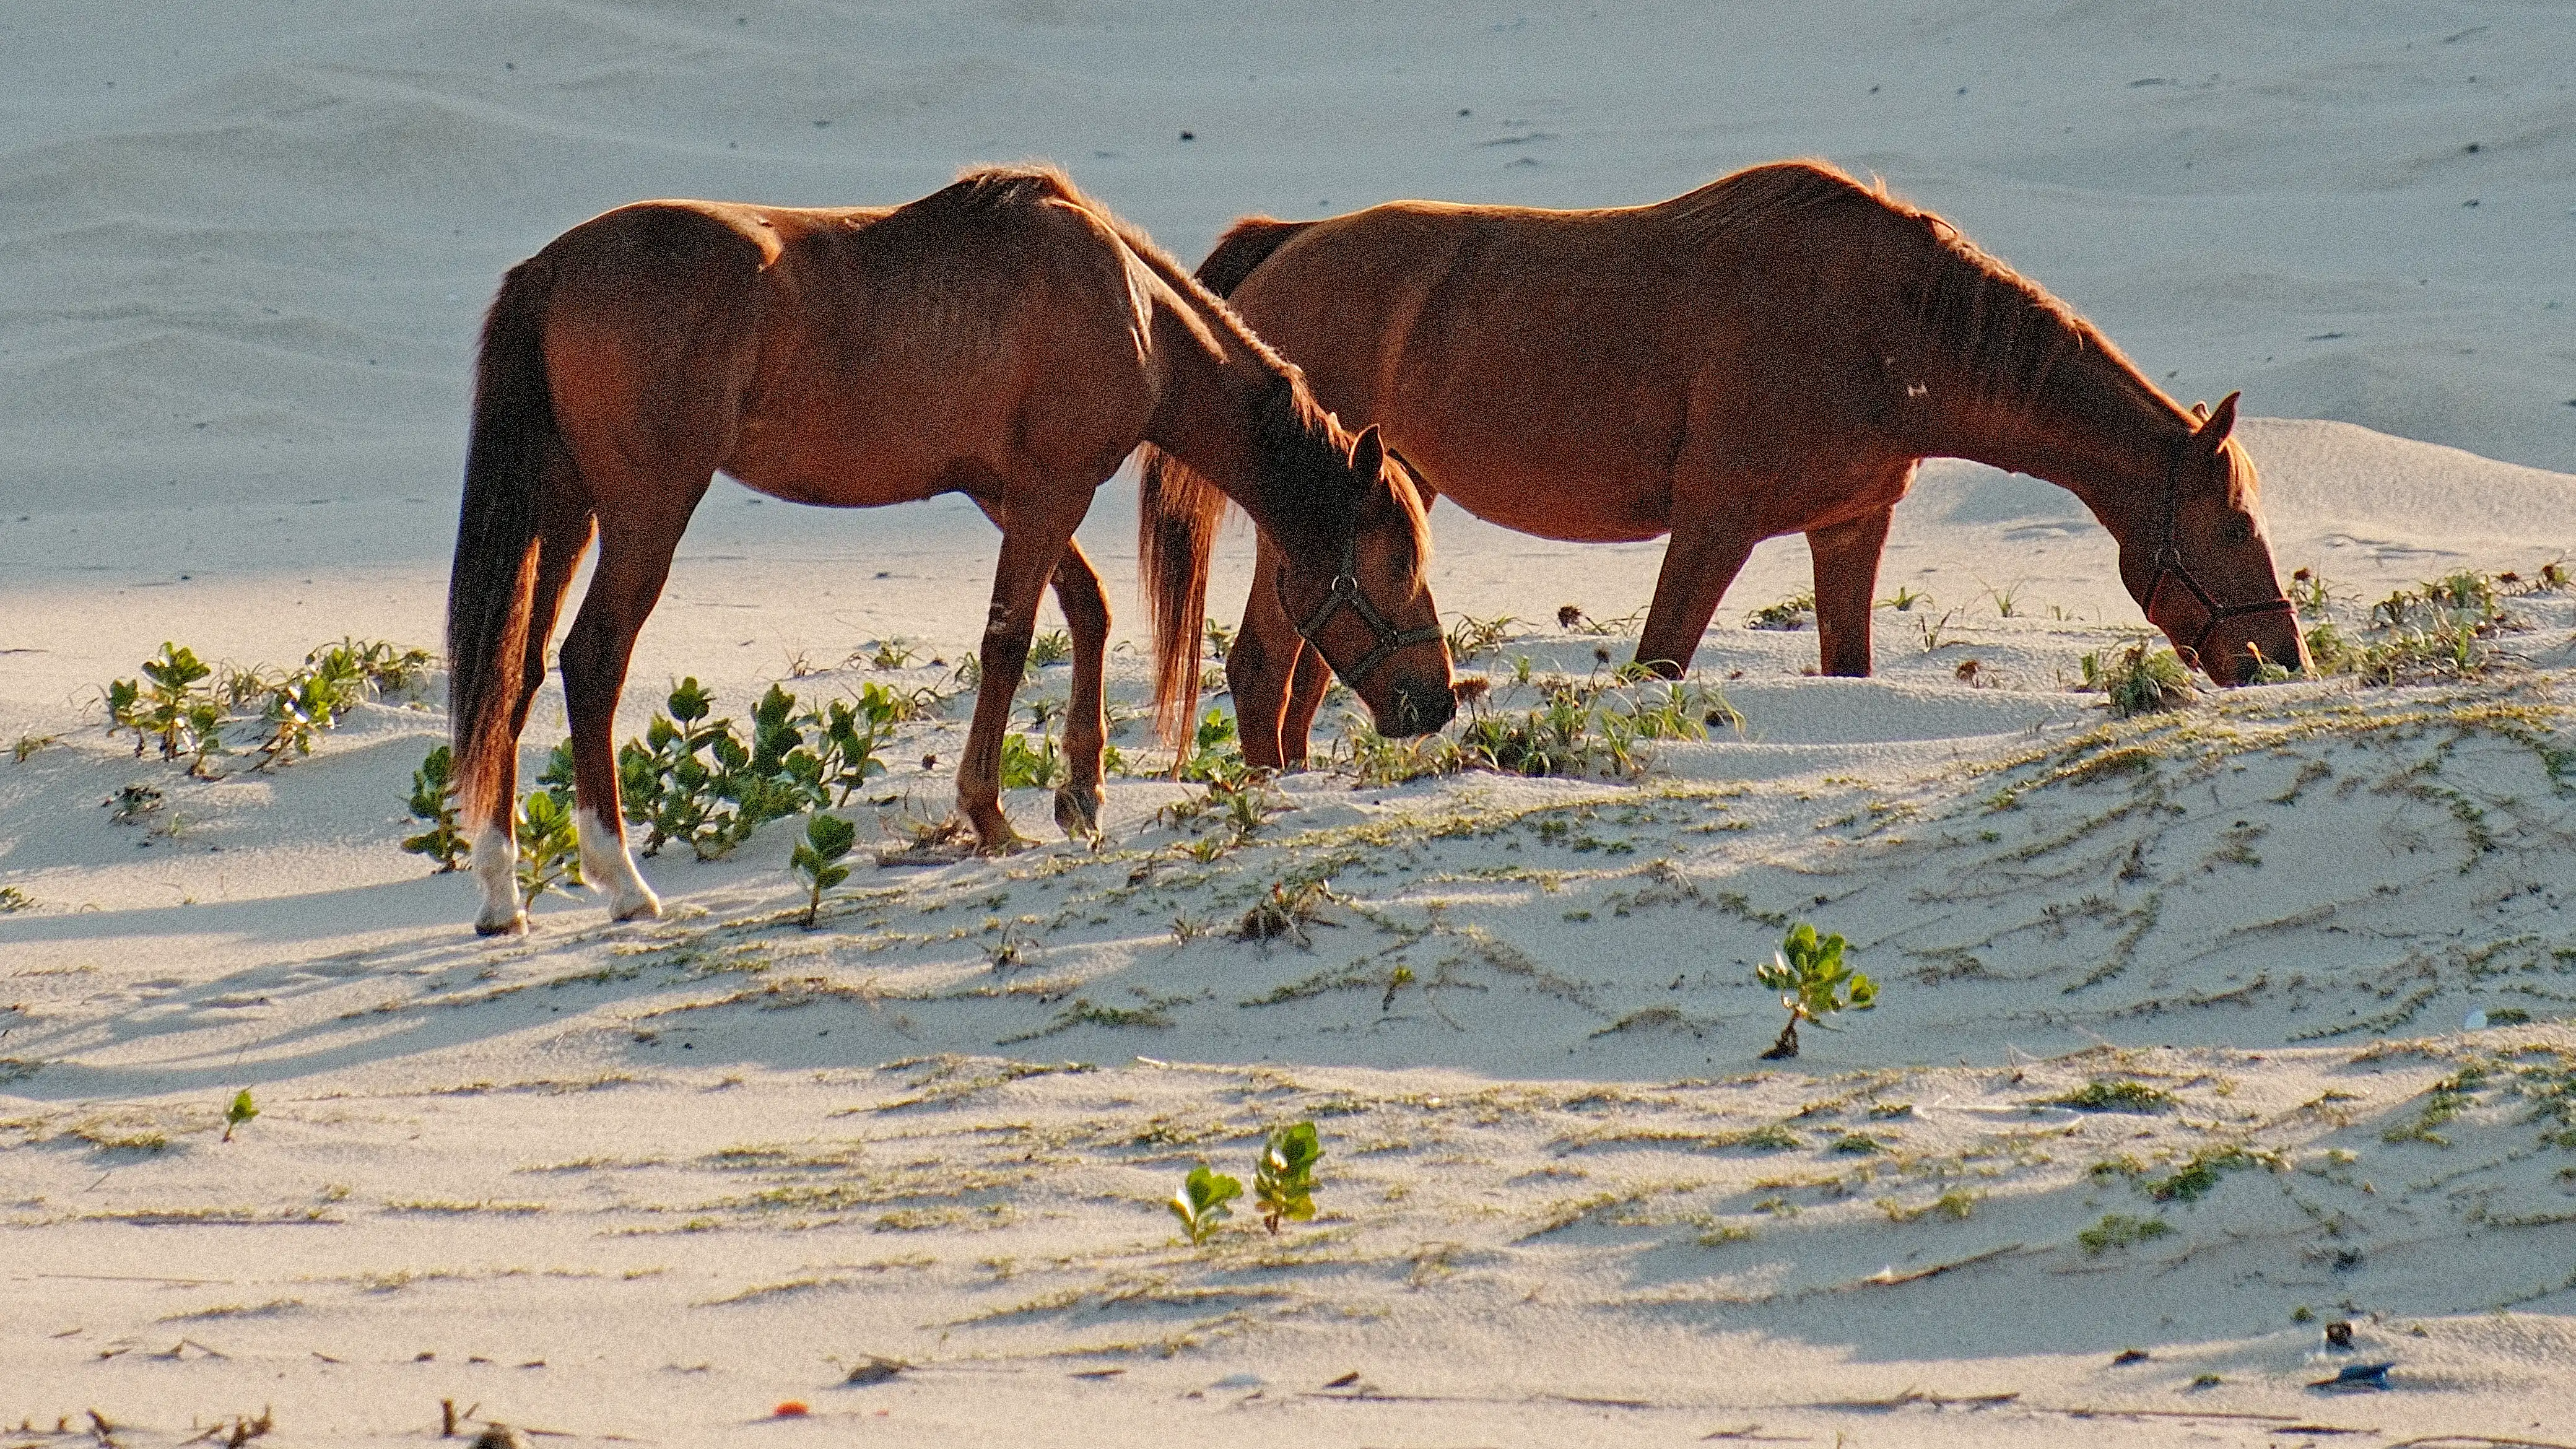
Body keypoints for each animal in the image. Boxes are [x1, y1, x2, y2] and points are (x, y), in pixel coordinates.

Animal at [446, 165, 1453, 935]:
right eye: (1399, 564)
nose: (1437, 702)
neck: (1125, 304)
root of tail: (553, 268)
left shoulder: (1009, 493)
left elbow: (1087, 611)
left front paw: (1081, 794)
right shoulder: (1051, 491)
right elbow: (1009, 640)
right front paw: (991, 812)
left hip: (563, 511)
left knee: (512, 671)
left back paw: (501, 891)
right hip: (646, 514)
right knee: (591, 660)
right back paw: (621, 879)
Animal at [1165, 160, 2309, 770]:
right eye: (2237, 526)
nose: (2282, 660)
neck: (1893, 333)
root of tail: (1283, 245)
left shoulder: (1847, 529)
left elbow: (1848, 668)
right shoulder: (1713, 528)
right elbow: (1658, 667)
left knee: (1301, 676)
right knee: (1264, 669)